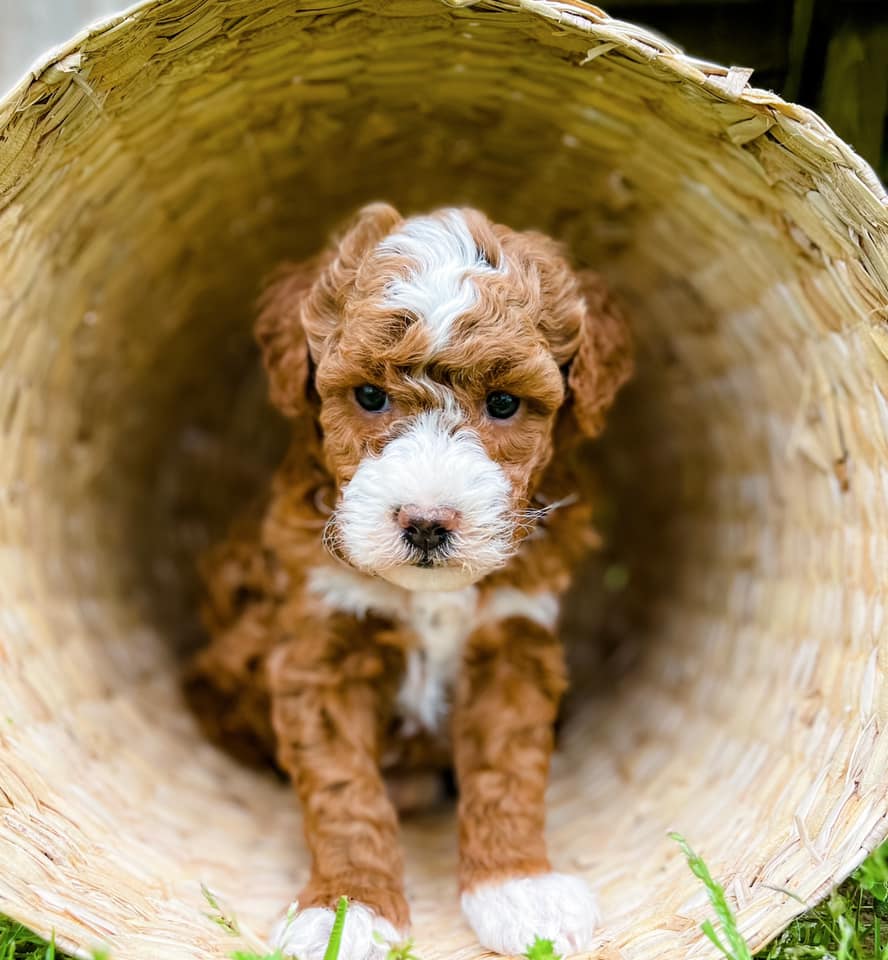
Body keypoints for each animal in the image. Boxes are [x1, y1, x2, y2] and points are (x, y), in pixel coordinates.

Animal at [187, 204, 632, 960]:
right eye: (369, 396)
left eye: (504, 404)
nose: (426, 524)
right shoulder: (321, 647)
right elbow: (344, 791)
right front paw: (346, 913)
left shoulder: (514, 636)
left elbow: (510, 768)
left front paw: (519, 888)